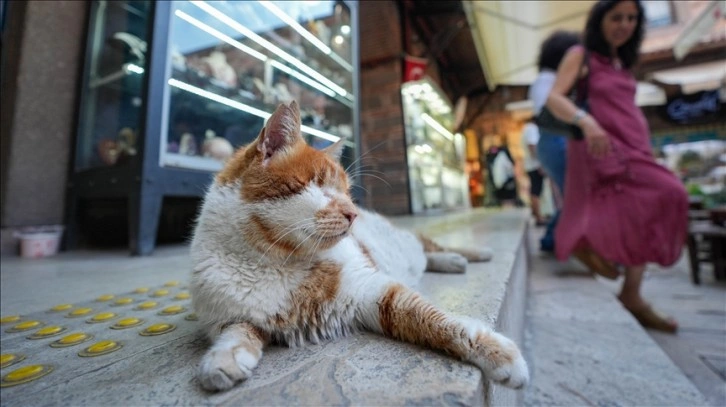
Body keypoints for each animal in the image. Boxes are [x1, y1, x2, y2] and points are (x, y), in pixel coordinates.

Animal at [188, 101, 528, 392]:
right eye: (320, 186)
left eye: (347, 192)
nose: (353, 213)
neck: (273, 260)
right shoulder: (228, 316)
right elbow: (237, 331)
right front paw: (225, 357)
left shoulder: (371, 290)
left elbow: (438, 320)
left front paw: (496, 352)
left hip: (408, 241)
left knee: (429, 244)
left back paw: (471, 255)